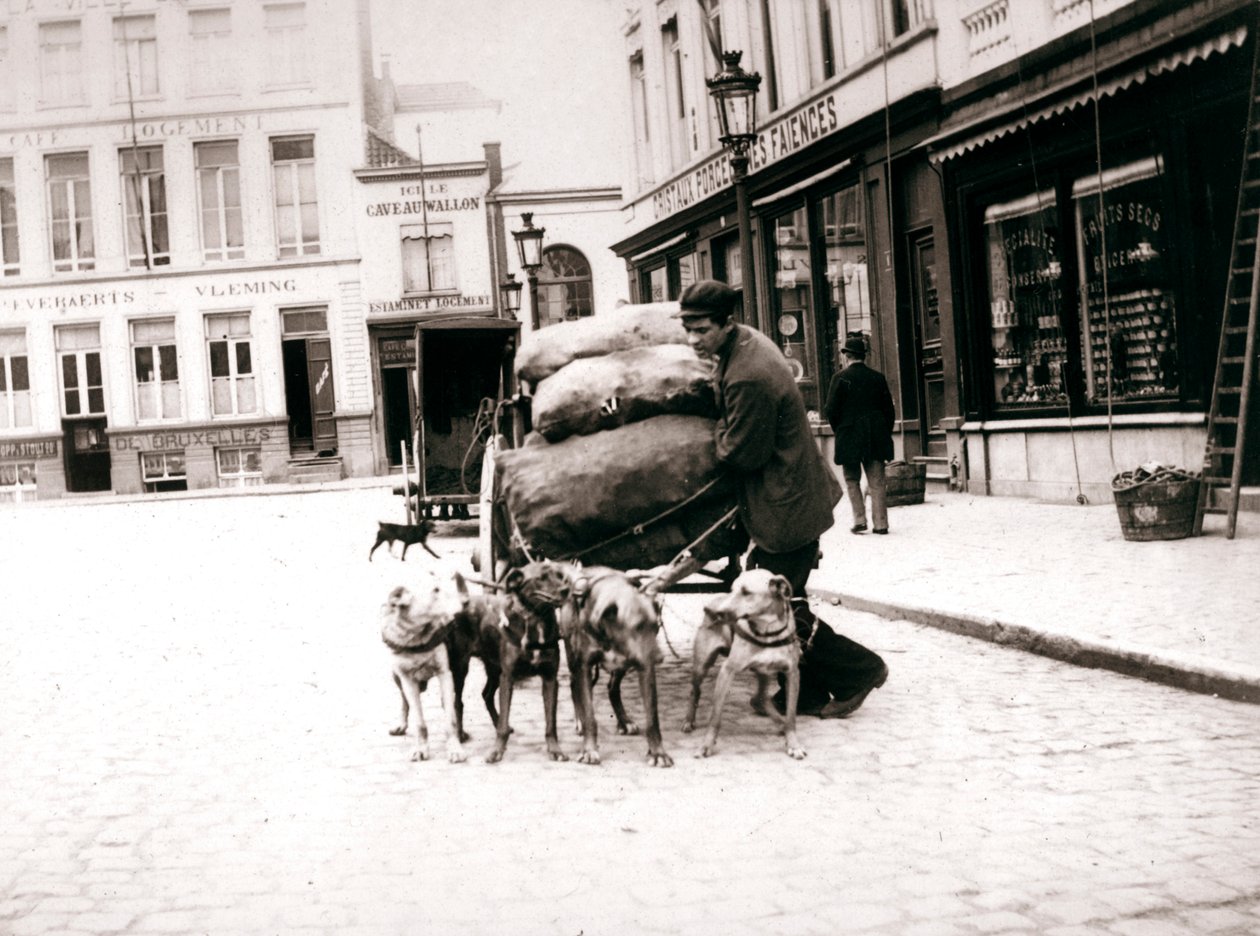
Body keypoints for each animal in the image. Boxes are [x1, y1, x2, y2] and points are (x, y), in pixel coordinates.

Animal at [380, 574, 471, 765]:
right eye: (435, 590)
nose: (466, 601)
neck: (416, 637)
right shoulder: (406, 679)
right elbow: (419, 721)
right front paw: (421, 749)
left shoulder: (445, 673)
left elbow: (450, 720)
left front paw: (455, 749)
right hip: (396, 676)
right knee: (404, 701)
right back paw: (401, 725)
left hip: (459, 669)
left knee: (457, 703)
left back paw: (461, 732)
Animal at [451, 559, 574, 765]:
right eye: (541, 577)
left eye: (560, 575)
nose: (566, 590)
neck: (536, 619)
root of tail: (465, 601)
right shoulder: (508, 677)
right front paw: (496, 751)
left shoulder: (550, 678)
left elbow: (551, 723)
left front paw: (555, 750)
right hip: (461, 667)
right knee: (458, 702)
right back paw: (460, 734)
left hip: (494, 668)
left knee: (486, 695)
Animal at [567, 564, 675, 770]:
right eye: (637, 627)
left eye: (656, 626)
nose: (659, 658)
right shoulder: (583, 665)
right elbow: (590, 716)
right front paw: (589, 749)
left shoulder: (644, 667)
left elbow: (652, 718)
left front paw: (658, 752)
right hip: (572, 657)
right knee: (574, 687)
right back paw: (579, 720)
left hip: (621, 666)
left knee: (613, 688)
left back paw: (624, 721)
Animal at [680, 571, 806, 760]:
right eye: (732, 589)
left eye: (746, 592)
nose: (715, 612)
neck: (767, 632)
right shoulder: (727, 671)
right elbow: (715, 717)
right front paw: (706, 746)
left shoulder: (792, 673)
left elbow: (791, 717)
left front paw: (793, 744)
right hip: (701, 666)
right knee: (694, 691)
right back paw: (689, 720)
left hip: (763, 672)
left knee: (759, 698)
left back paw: (780, 723)